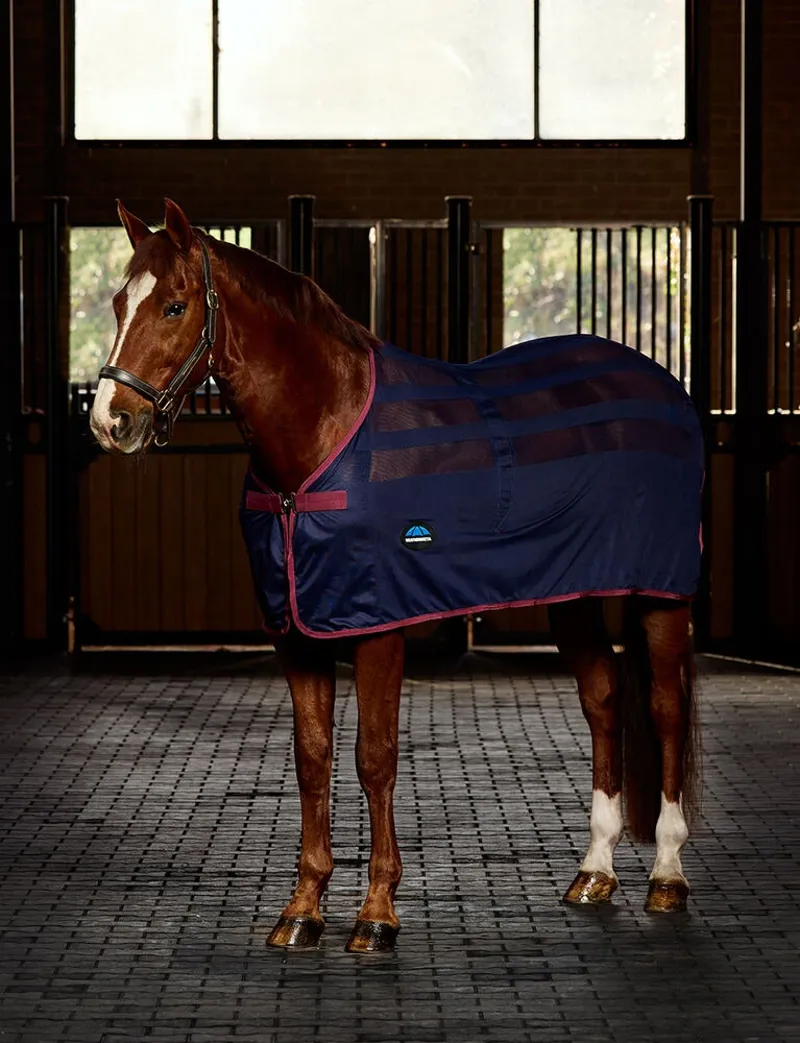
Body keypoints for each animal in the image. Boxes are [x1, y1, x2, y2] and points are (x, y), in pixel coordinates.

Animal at [90, 198, 702, 953]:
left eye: (175, 306)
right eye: (119, 303)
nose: (111, 420)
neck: (321, 435)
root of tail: (660, 383)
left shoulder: (379, 626)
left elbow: (373, 757)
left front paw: (377, 913)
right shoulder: (297, 632)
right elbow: (313, 757)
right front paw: (302, 909)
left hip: (662, 593)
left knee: (666, 708)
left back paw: (667, 875)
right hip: (575, 594)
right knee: (604, 697)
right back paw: (595, 871)